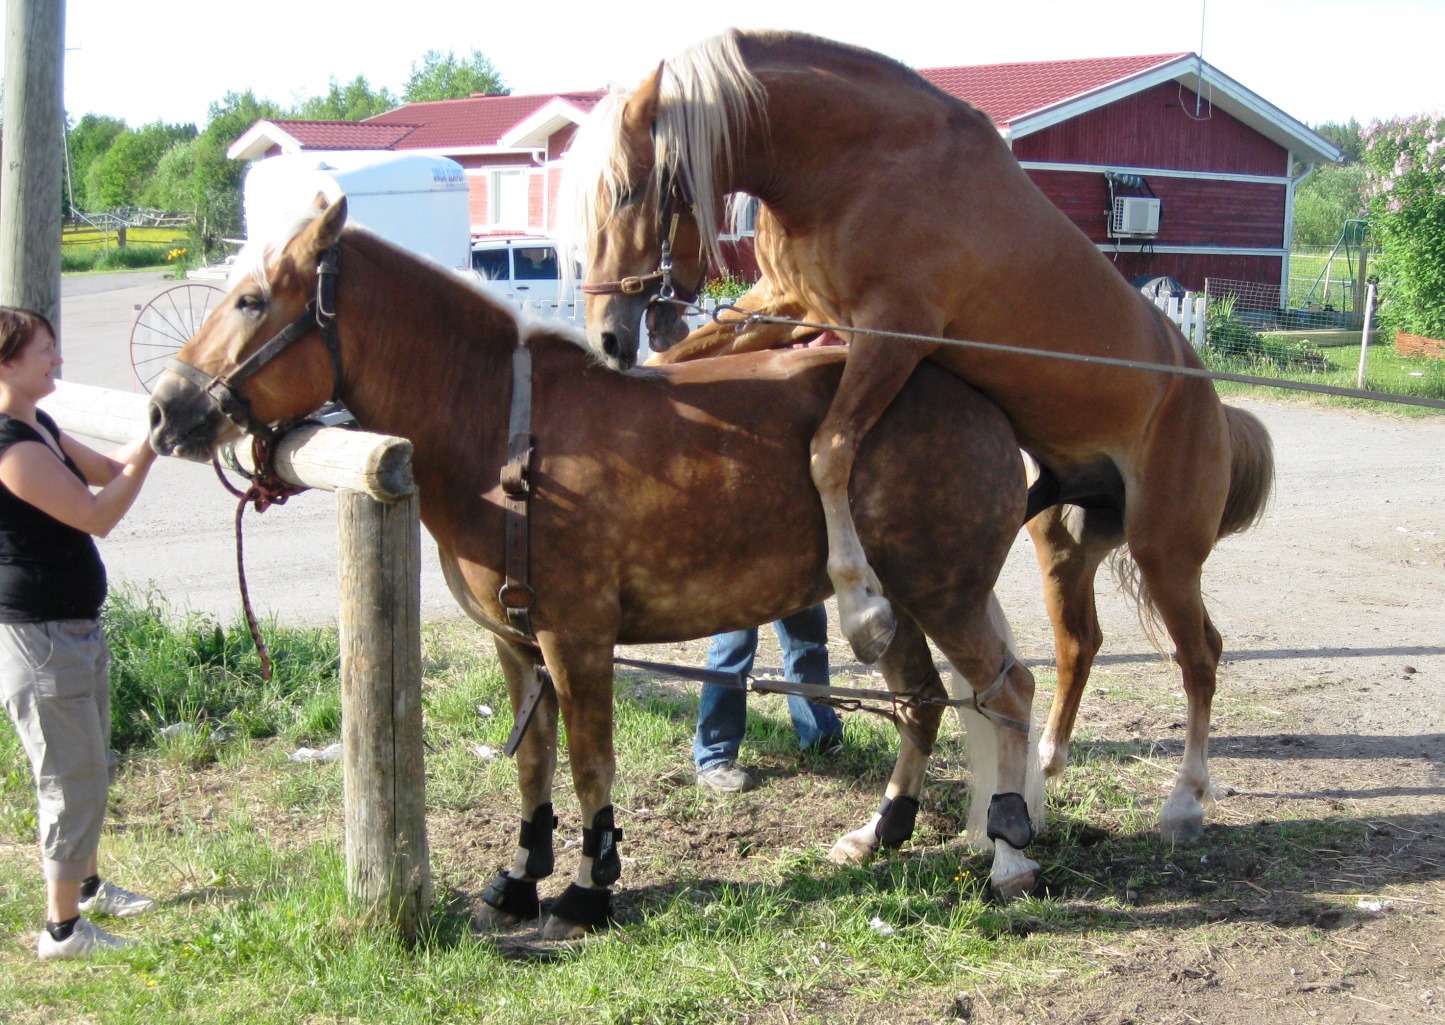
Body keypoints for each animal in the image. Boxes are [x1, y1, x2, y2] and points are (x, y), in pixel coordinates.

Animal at [152, 196, 1046, 936]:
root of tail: (980, 402)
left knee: (1007, 693)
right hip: (893, 602)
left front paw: (589, 885)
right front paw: (520, 876)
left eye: (251, 299)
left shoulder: (575, 638)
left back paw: (1008, 852)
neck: (507, 441)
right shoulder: (516, 643)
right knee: (920, 700)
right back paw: (878, 832)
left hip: (946, 593)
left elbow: (589, 764)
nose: (166, 409)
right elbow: (533, 765)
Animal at [563, 29, 1277, 838]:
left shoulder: (889, 334)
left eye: (627, 190)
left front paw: (864, 611)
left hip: (1166, 553)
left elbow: (829, 451)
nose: (609, 335)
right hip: (1064, 545)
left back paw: (1183, 800)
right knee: (1079, 643)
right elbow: (692, 359)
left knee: (1200, 656)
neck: (861, 161)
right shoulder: (787, 302)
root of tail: (1210, 405)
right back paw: (1050, 761)